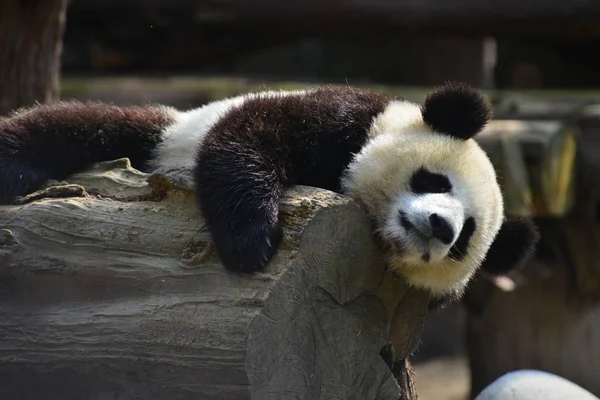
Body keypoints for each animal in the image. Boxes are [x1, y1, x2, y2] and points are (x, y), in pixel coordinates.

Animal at [0, 82, 540, 304]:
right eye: (434, 180)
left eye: (466, 238)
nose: (442, 226)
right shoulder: (346, 118)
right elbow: (251, 133)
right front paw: (252, 242)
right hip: (166, 133)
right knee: (81, 124)